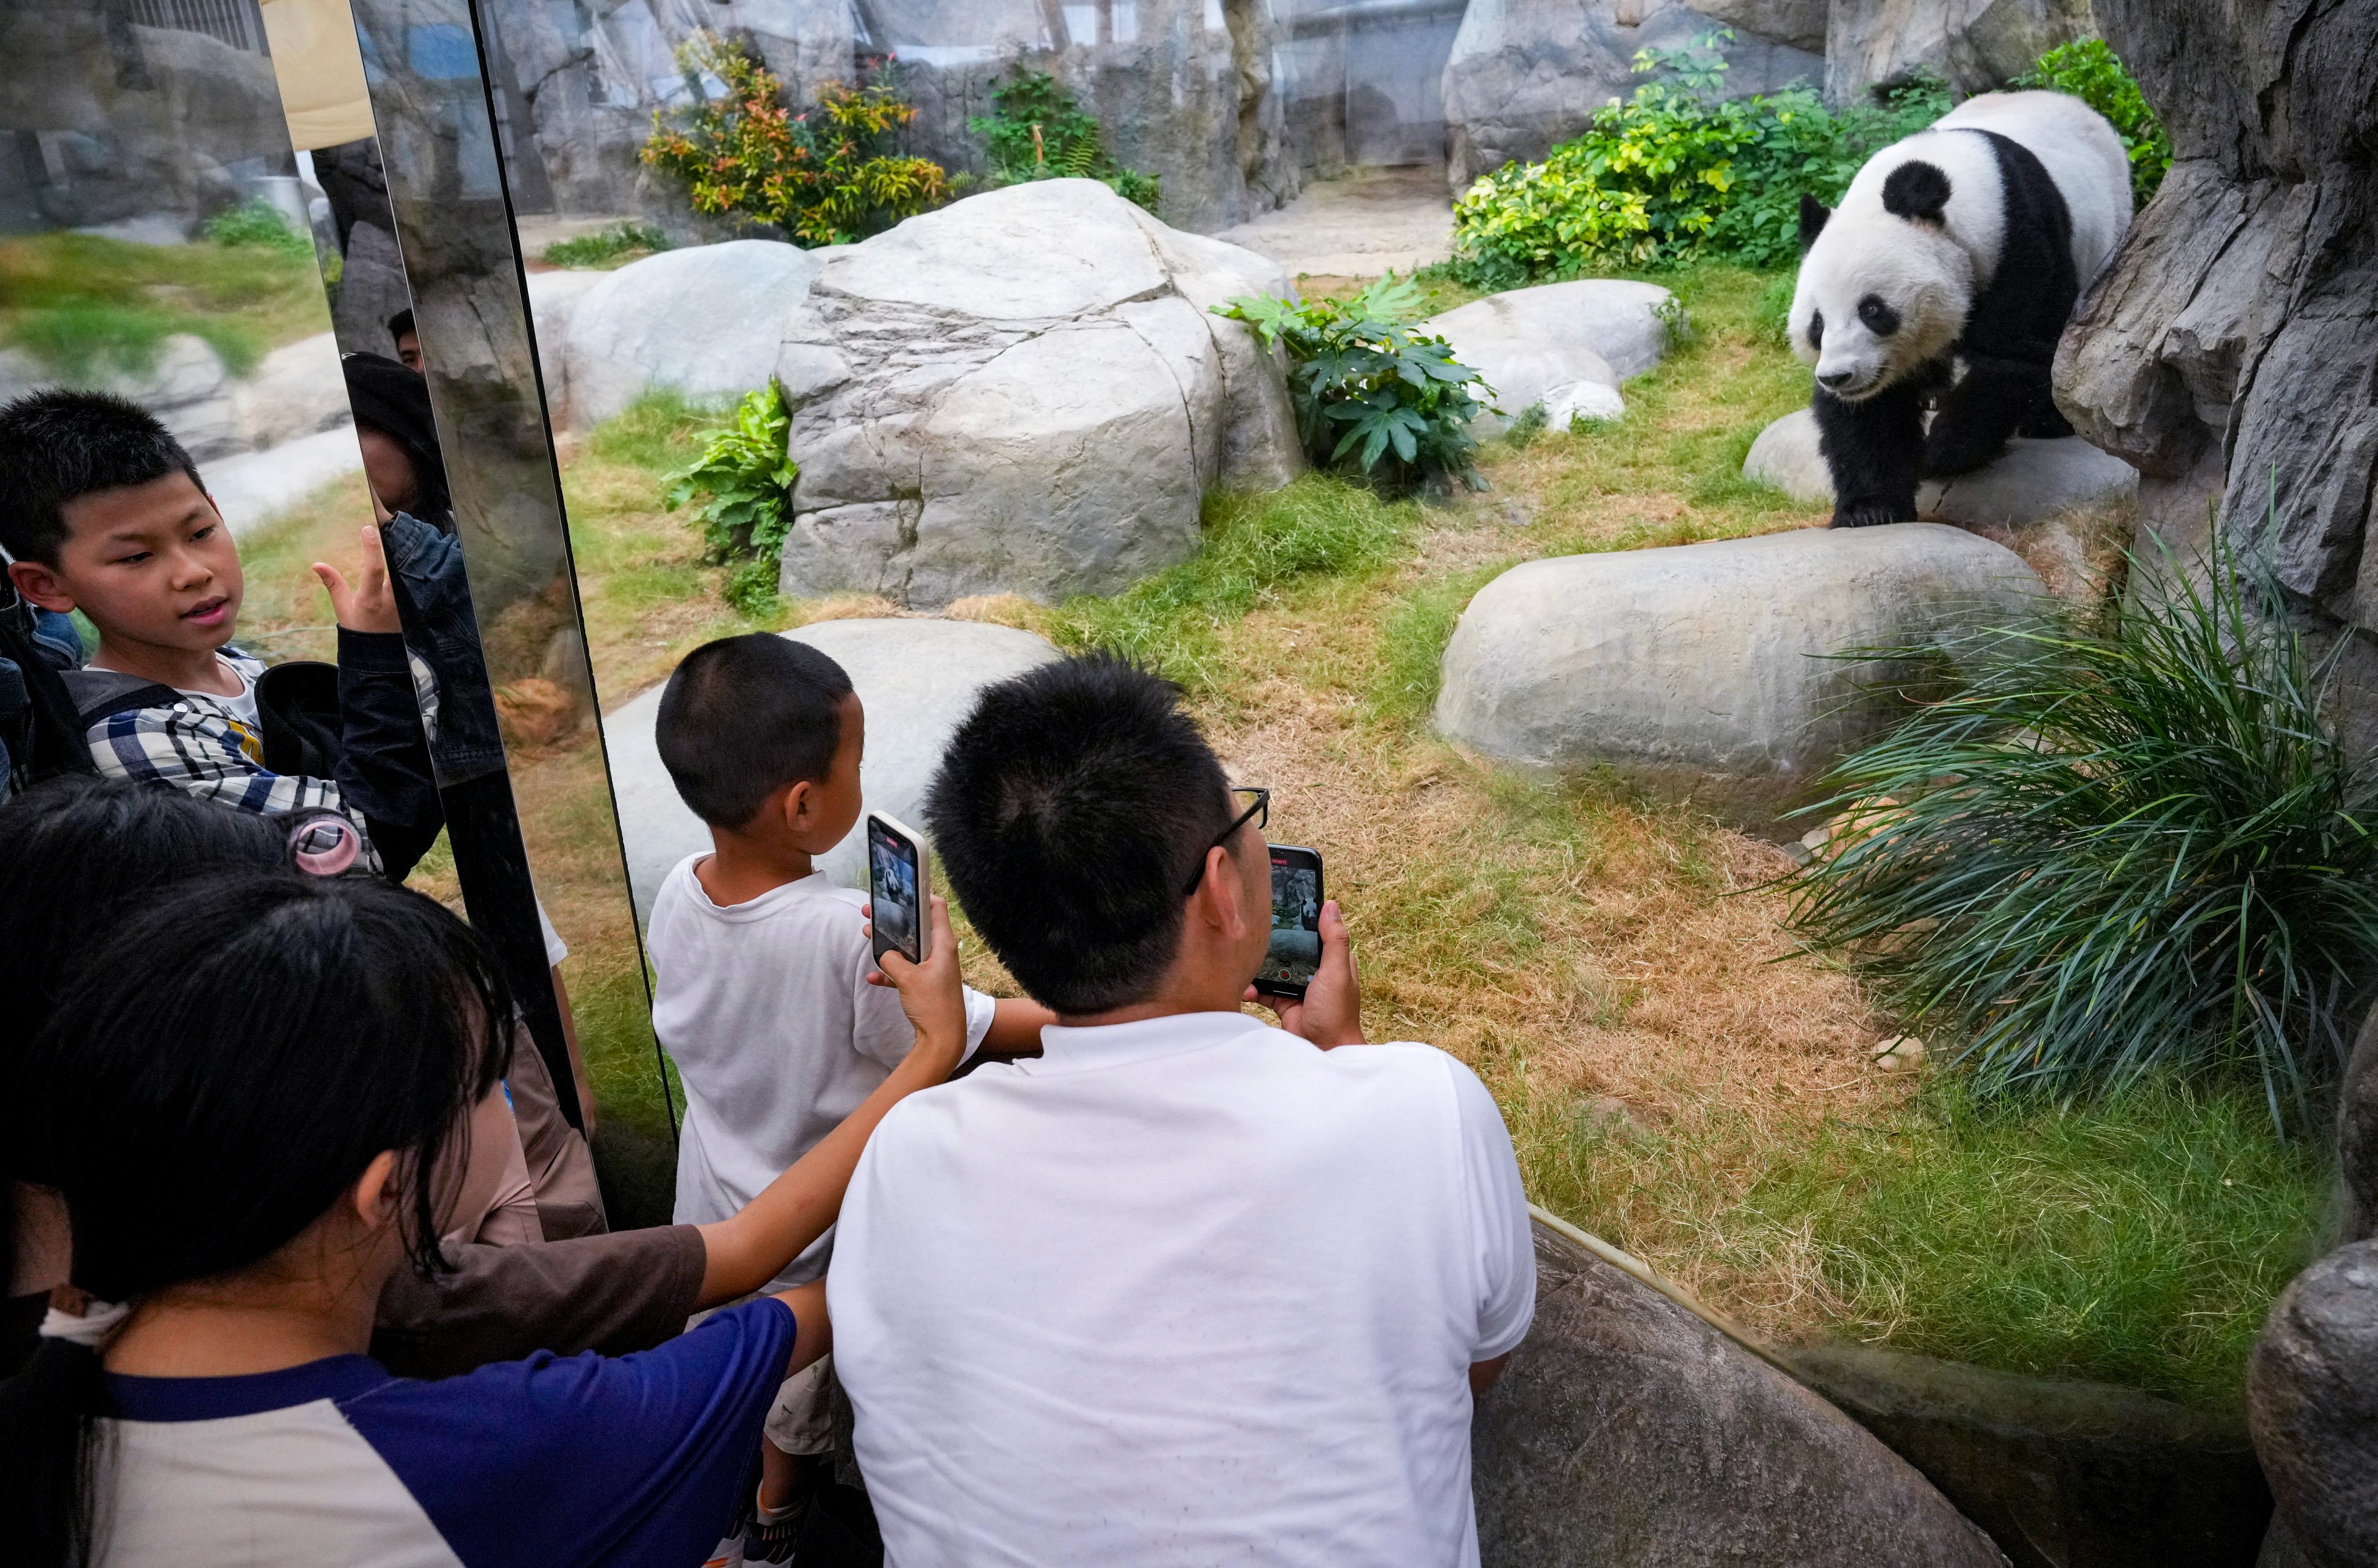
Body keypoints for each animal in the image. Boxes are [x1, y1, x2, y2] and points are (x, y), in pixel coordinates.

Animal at [1788, 95, 2140, 529]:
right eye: (1817, 323)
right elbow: (1869, 413)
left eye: (1872, 309)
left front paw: (1941, 451)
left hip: (2104, 236)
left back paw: (2047, 421)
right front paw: (1869, 510)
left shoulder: (2017, 242)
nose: (1837, 377)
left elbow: (2015, 355)